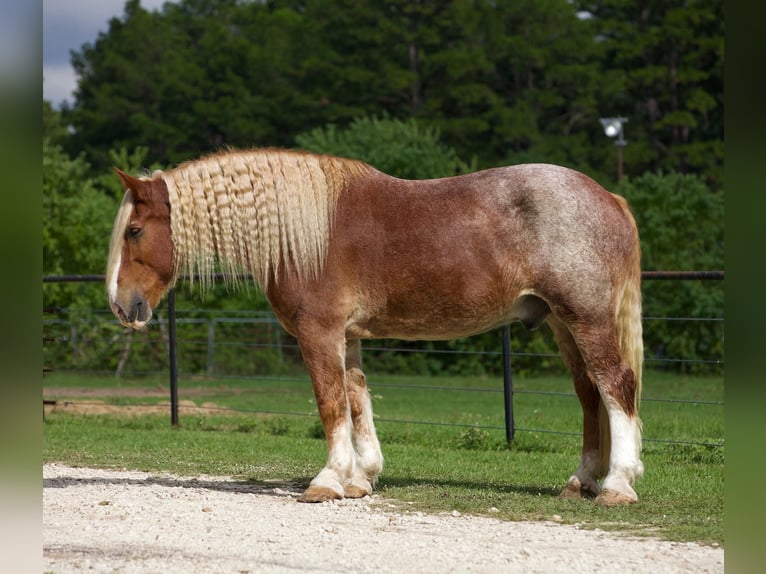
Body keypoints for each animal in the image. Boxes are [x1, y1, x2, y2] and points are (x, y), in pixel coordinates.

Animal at [106, 148, 648, 508]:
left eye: (135, 231)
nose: (119, 304)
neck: (305, 233)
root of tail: (609, 196)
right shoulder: (347, 337)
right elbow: (356, 400)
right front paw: (360, 478)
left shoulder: (319, 334)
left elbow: (330, 403)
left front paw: (327, 481)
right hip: (562, 324)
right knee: (590, 395)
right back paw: (581, 481)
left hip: (586, 319)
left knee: (615, 386)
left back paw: (617, 485)